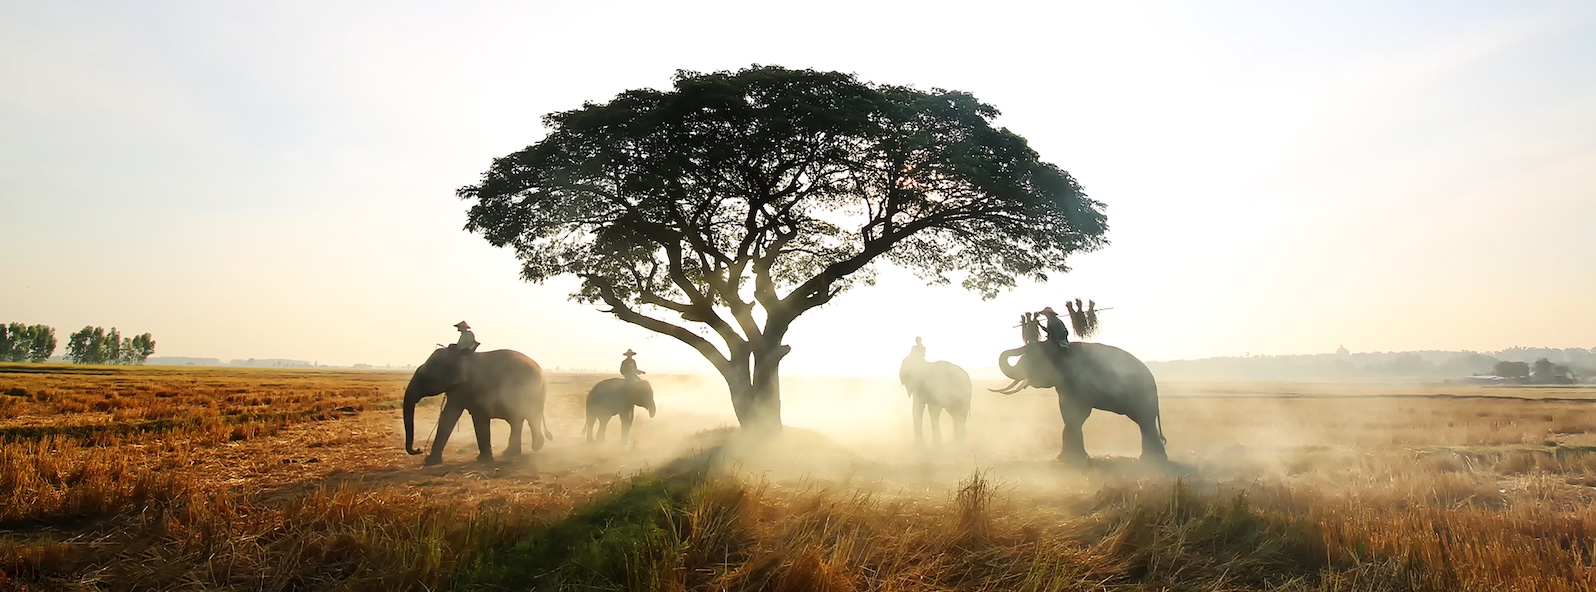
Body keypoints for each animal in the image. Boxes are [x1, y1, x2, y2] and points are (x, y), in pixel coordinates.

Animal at [402, 347, 552, 469]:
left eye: (423, 378)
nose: (419, 450)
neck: (458, 356)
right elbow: (454, 416)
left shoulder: (469, 388)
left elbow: (459, 416)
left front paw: (483, 461)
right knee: (517, 421)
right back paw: (511, 453)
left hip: (531, 393)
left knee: (529, 417)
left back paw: (535, 446)